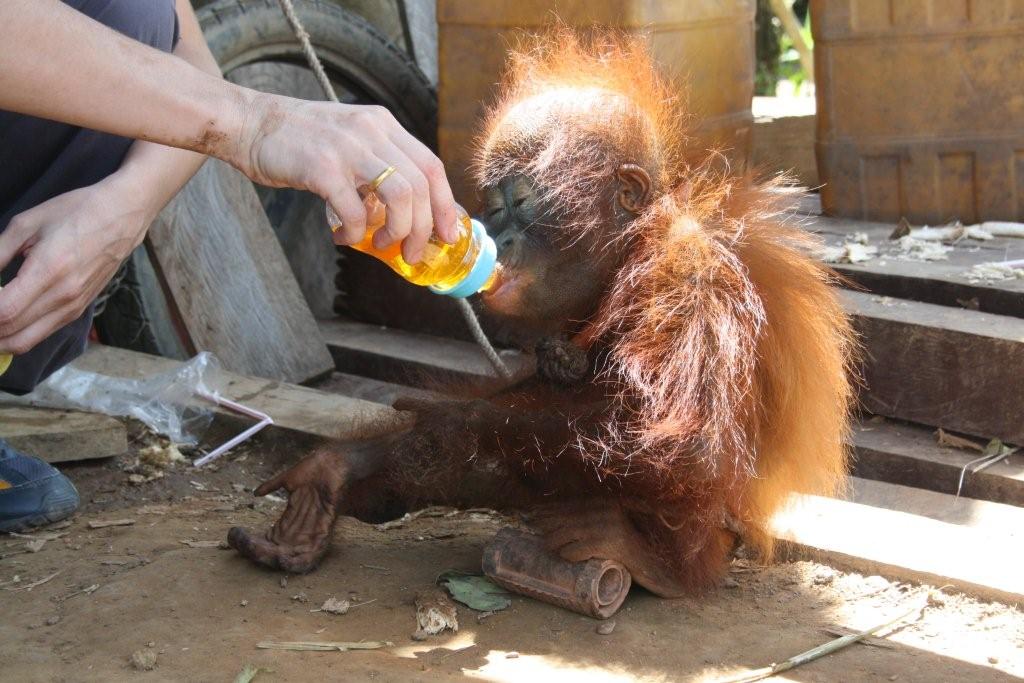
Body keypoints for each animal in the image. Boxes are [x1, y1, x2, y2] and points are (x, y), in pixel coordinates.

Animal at [228, 29, 856, 598]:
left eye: (521, 201)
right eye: (491, 205)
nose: (496, 235)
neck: (629, 258)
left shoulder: (690, 278)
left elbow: (689, 442)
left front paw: (443, 420)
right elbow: (532, 387)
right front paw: (343, 463)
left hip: (715, 526)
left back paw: (651, 560)